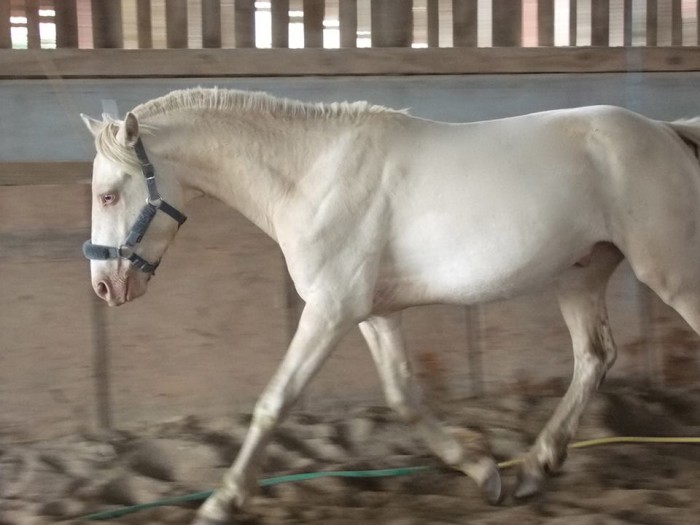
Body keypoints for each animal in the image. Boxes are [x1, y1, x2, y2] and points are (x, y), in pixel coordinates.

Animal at [80, 88, 700, 525]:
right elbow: (402, 396)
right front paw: (482, 472)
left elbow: (274, 403)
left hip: (670, 273)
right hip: (580, 276)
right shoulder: (373, 313)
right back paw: (533, 467)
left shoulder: (330, 309)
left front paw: (222, 502)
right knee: (594, 358)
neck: (312, 175)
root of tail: (667, 133)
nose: (105, 286)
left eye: (108, 194)